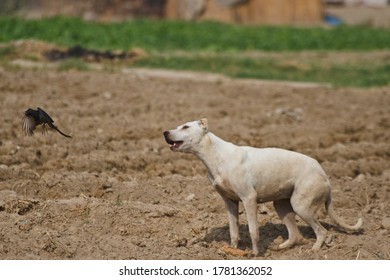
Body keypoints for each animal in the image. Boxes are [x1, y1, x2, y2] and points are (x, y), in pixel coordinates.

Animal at [164, 118, 362, 256]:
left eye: (185, 127)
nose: (165, 132)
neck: (216, 155)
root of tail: (325, 175)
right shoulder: (230, 202)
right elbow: (233, 231)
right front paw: (231, 250)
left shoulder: (248, 199)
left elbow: (253, 230)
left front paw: (255, 254)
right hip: (282, 206)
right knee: (295, 235)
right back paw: (281, 248)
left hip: (302, 206)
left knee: (321, 231)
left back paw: (313, 252)